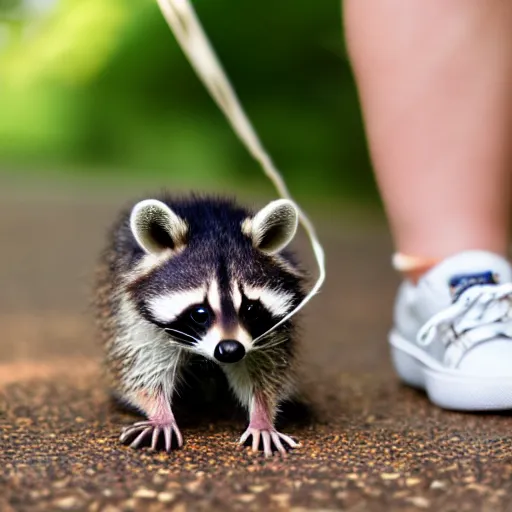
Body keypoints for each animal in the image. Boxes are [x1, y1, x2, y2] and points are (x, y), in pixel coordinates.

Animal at [94, 193, 306, 456]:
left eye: (250, 310)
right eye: (200, 313)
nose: (230, 350)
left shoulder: (272, 331)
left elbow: (264, 372)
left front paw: (262, 416)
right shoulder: (133, 316)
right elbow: (142, 369)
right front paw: (160, 414)